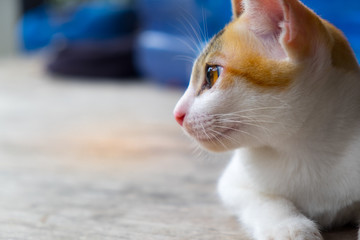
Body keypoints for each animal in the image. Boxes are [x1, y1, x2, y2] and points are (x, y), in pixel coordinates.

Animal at [173, 0, 360, 239]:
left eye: (212, 74)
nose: (177, 114)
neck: (306, 151)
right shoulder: (232, 184)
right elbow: (264, 200)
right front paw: (289, 226)